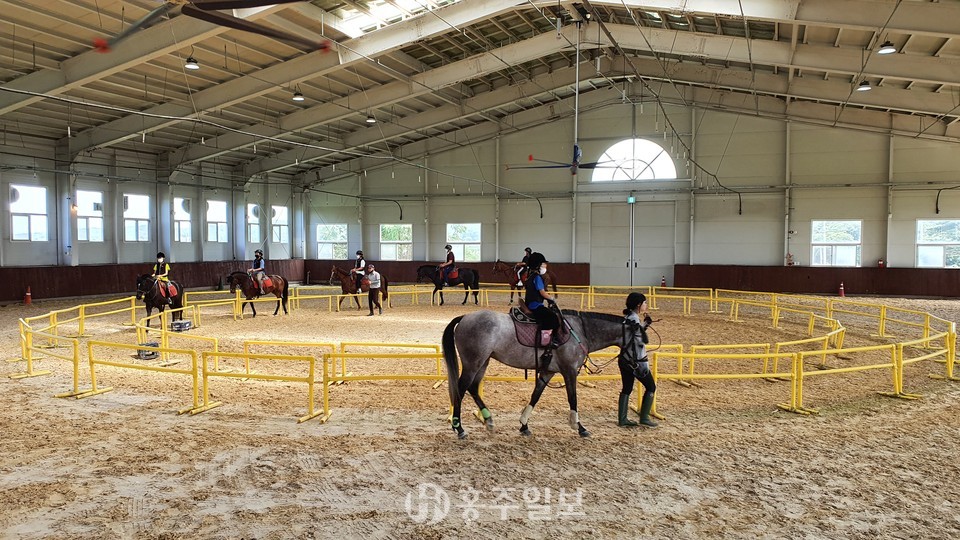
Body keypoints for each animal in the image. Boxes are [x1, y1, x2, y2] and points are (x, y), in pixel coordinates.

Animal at [444, 308, 632, 438]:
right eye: (637, 339)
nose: (637, 364)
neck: (579, 332)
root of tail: (465, 317)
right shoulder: (570, 371)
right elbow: (573, 398)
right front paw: (579, 427)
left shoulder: (548, 372)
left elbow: (535, 395)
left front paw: (524, 425)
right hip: (473, 364)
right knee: (461, 389)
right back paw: (459, 428)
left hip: (483, 362)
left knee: (473, 388)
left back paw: (488, 420)